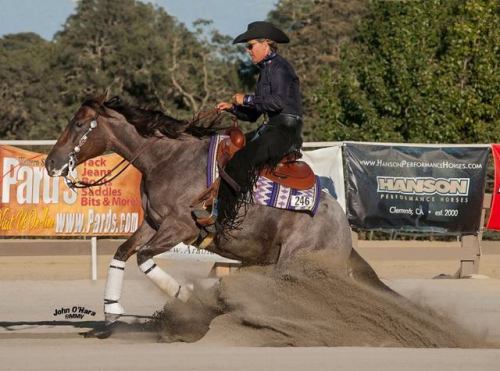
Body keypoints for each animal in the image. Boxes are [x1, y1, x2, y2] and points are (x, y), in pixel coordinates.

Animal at [44, 93, 386, 340]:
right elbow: (122, 252)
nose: (51, 163)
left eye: (79, 124)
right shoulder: (152, 224)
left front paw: (188, 298)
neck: (167, 159)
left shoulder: (179, 227)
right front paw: (111, 312)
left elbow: (143, 258)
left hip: (299, 266)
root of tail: (343, 227)